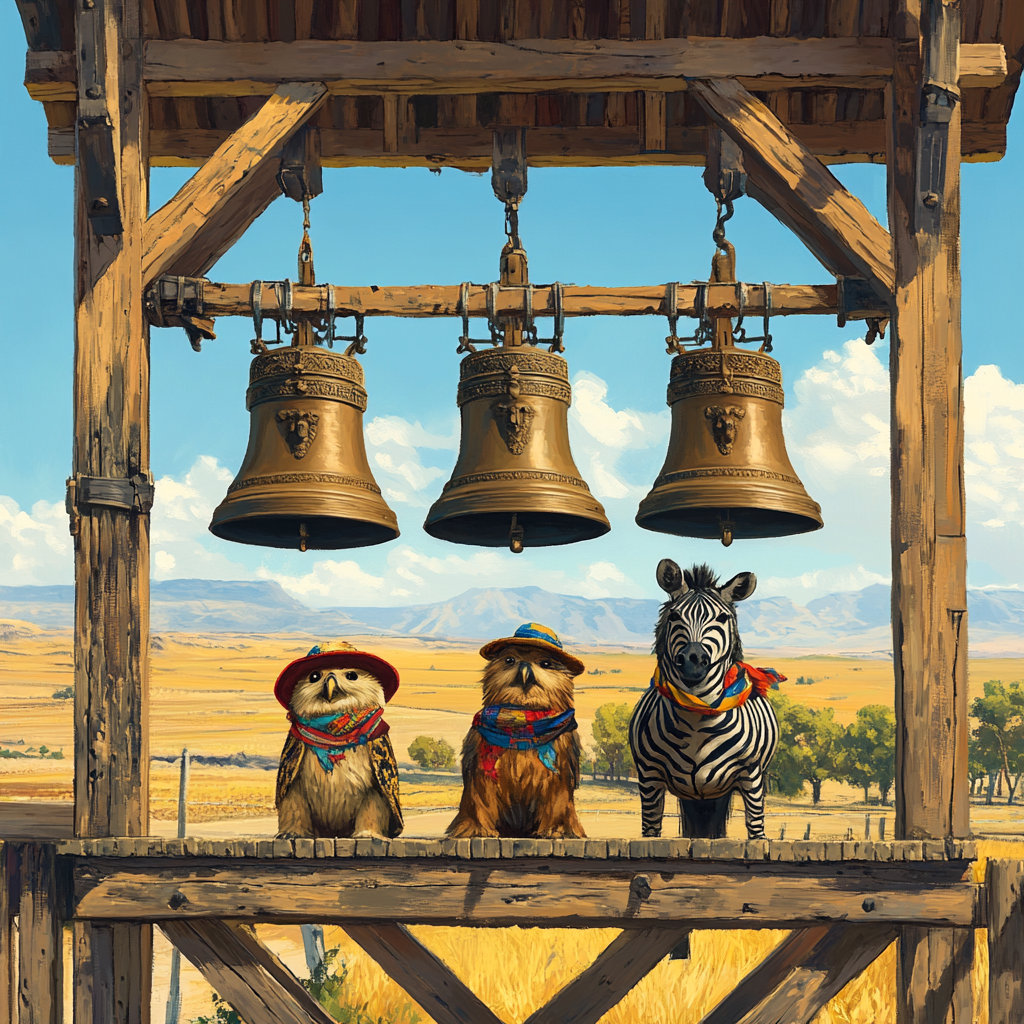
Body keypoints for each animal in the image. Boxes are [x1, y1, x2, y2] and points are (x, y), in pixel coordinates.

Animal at [626, 561, 778, 839]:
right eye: (674, 616)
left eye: (722, 618)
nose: (693, 659)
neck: (697, 716)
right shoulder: (649, 778)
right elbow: (651, 830)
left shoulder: (752, 777)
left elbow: (756, 829)